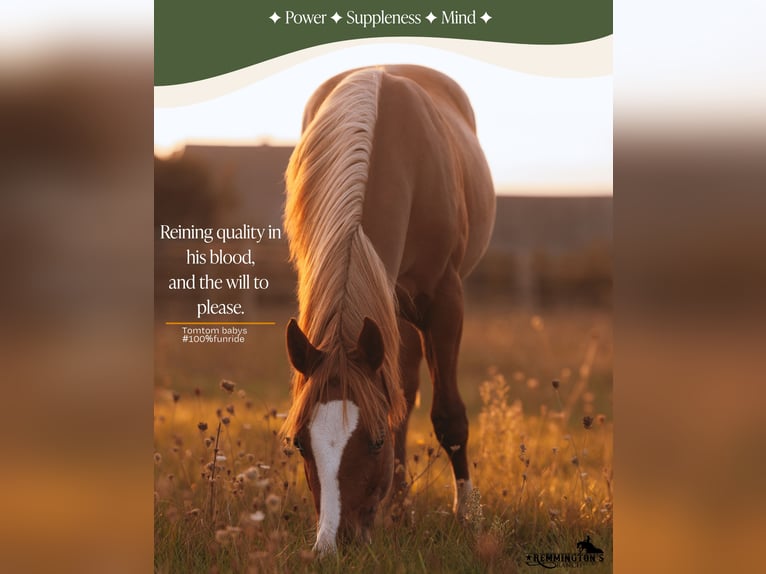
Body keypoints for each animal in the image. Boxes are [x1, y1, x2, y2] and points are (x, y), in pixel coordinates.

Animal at [281, 64, 495, 553]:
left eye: (374, 443)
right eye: (300, 443)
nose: (333, 546)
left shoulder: (445, 300)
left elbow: (448, 416)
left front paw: (468, 517)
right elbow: (399, 404)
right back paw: (399, 509)